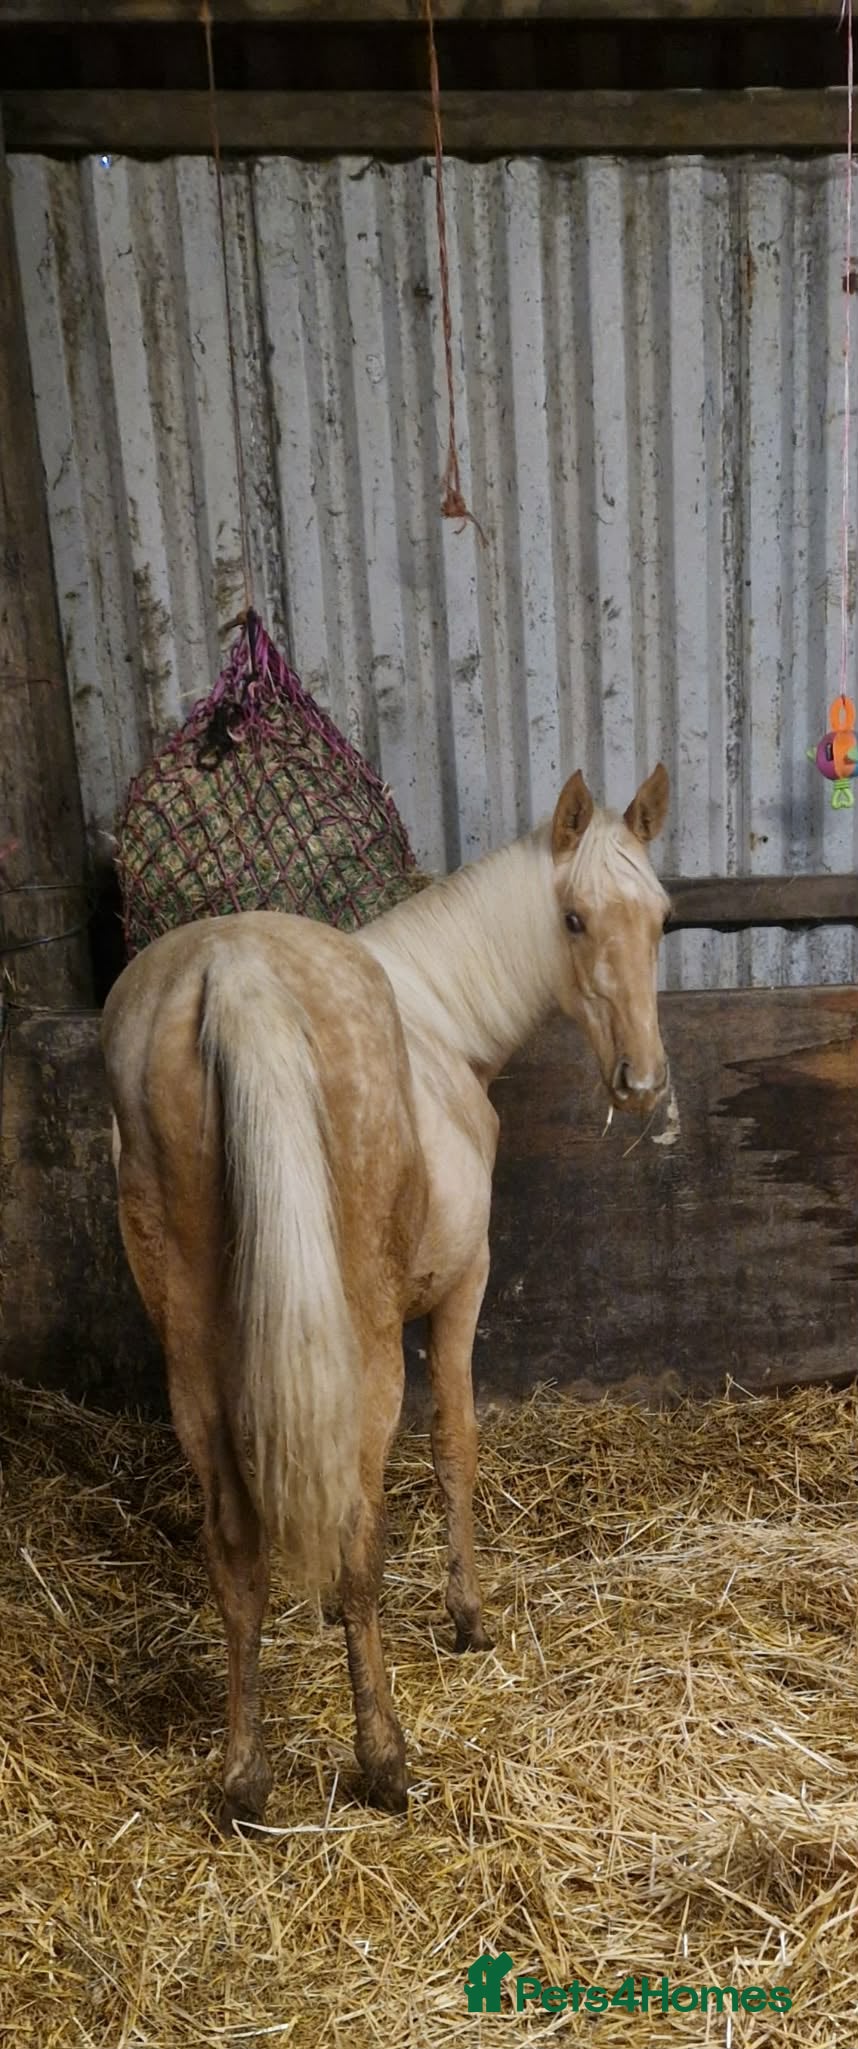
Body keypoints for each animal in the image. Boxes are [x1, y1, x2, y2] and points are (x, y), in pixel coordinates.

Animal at [102, 764, 671, 1827]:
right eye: (574, 919)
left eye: (660, 916)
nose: (643, 1082)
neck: (437, 1021)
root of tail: (234, 972)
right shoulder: (458, 1290)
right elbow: (453, 1446)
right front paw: (467, 1613)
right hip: (363, 1346)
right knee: (358, 1539)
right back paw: (382, 1757)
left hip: (195, 1358)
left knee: (235, 1551)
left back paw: (245, 1777)